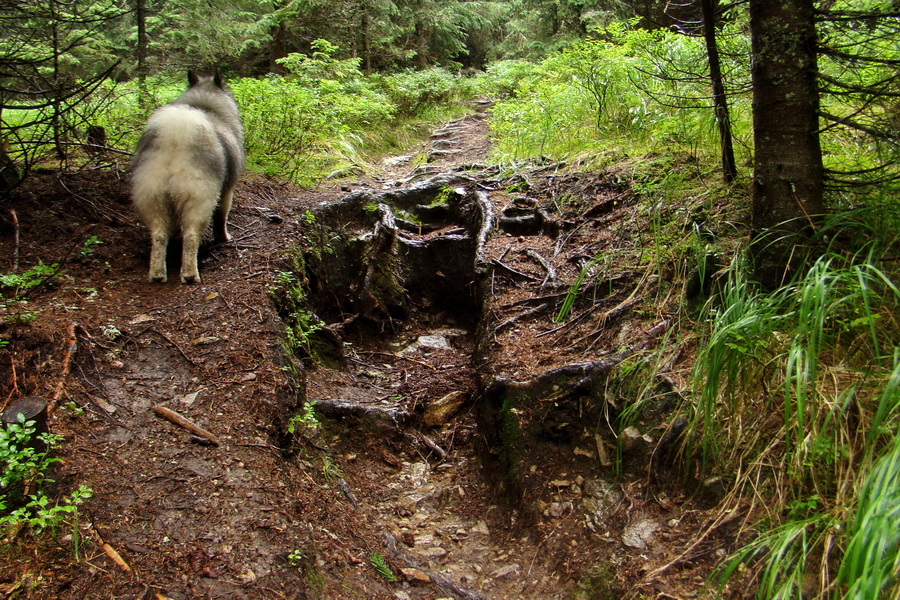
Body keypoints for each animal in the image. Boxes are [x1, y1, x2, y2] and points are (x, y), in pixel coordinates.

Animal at [130, 72, 243, 284]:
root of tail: (175, 138)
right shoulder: (226, 191)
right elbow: (221, 217)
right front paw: (224, 237)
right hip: (199, 198)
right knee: (191, 236)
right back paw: (190, 274)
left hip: (153, 197)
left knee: (158, 235)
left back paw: (157, 273)